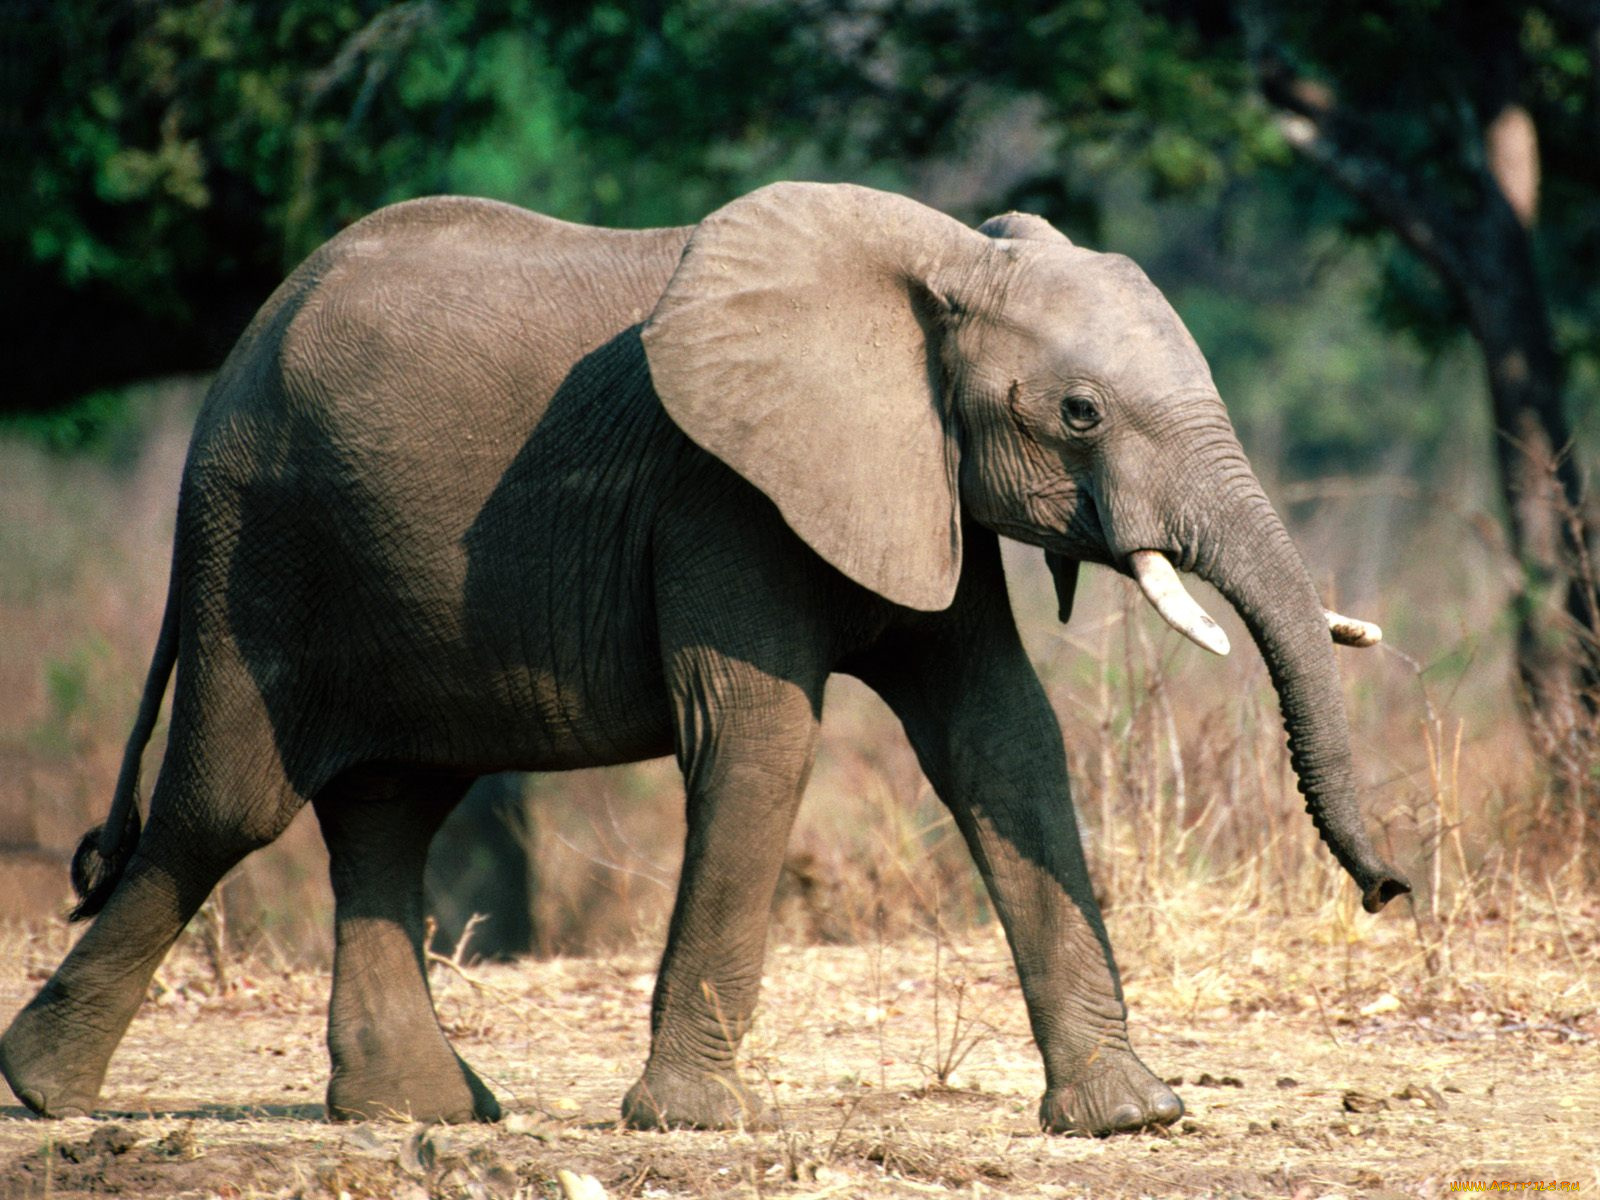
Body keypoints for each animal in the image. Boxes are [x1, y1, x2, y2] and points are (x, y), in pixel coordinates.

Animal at [0, 182, 1408, 1136]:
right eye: (1078, 414)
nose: (1391, 891)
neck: (940, 262)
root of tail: (240, 347)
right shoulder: (721, 490)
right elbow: (762, 734)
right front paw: (689, 1125)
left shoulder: (913, 475)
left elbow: (1000, 735)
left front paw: (1129, 1117)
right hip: (257, 545)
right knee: (227, 807)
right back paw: (48, 1094)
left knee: (391, 810)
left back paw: (422, 1115)